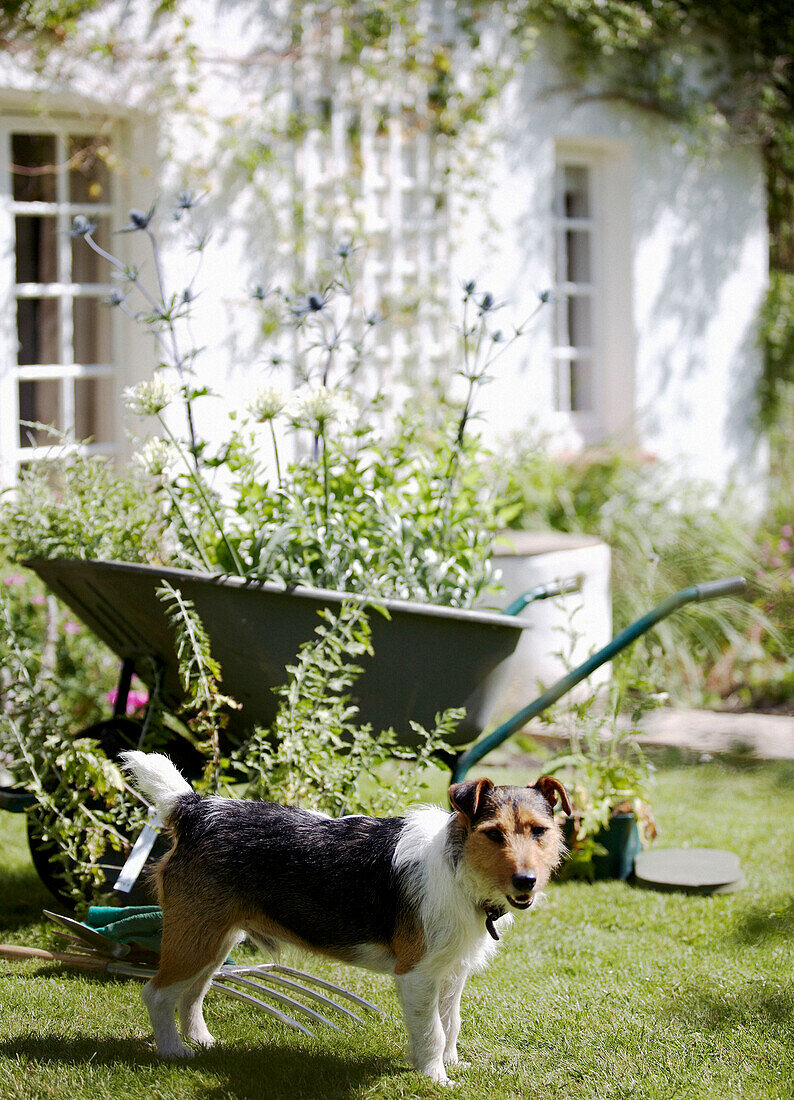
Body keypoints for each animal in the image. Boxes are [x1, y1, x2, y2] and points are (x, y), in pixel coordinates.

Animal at [120, 752, 567, 1086]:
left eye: (539, 831)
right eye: (493, 833)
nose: (526, 881)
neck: (458, 867)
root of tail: (197, 808)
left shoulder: (450, 971)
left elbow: (450, 1023)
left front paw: (452, 1064)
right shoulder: (418, 973)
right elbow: (432, 1030)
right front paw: (436, 1078)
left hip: (214, 940)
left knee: (193, 993)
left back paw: (202, 1041)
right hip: (195, 940)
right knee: (157, 993)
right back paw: (173, 1050)